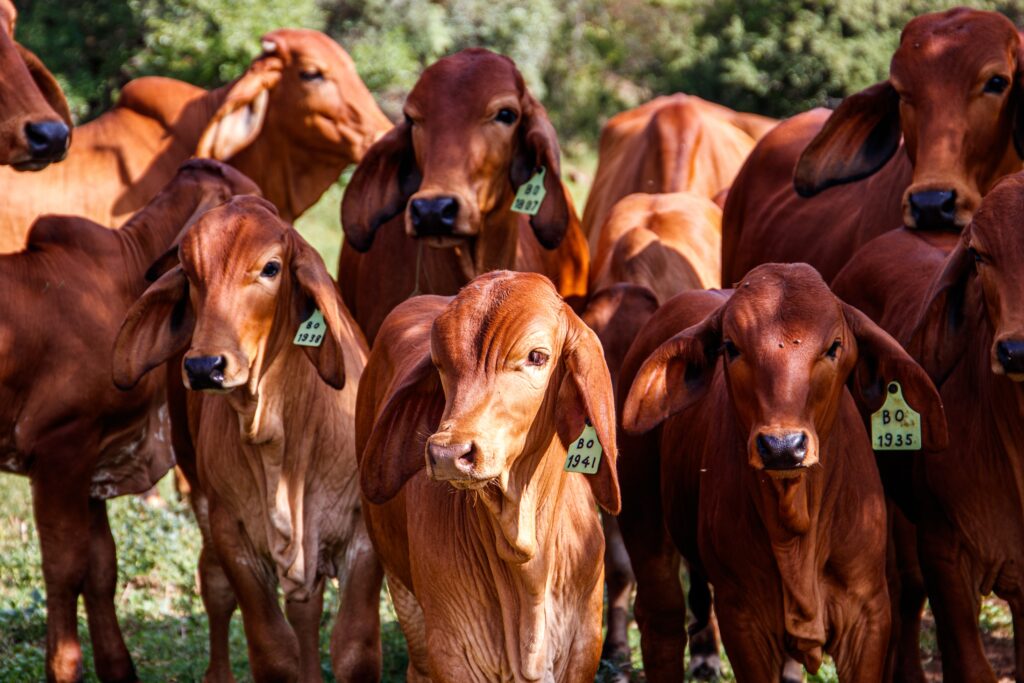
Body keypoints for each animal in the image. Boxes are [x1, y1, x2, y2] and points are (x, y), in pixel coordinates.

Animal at [0, 160, 256, 682]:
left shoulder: (96, 462)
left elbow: (101, 568)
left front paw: (118, 667)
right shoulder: (60, 451)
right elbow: (64, 568)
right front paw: (64, 667)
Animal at [112, 195, 378, 683]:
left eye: (271, 268)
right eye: (189, 272)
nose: (204, 367)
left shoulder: (361, 537)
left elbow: (353, 650)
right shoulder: (234, 538)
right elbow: (273, 651)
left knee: (306, 608)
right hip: (201, 499)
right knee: (215, 585)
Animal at [618, 263, 946, 682]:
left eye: (834, 347)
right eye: (730, 347)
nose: (782, 446)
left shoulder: (869, 616)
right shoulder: (743, 621)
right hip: (644, 527)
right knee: (662, 622)